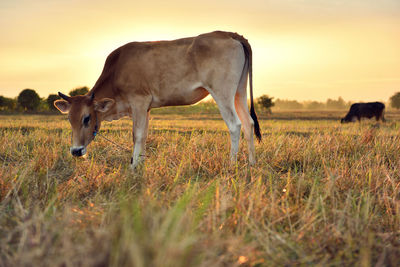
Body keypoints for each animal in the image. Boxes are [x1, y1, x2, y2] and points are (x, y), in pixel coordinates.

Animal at [54, 30, 260, 168]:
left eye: (87, 118)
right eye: (69, 119)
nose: (76, 151)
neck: (116, 70)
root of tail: (229, 34)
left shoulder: (138, 102)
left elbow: (136, 135)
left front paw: (133, 167)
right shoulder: (146, 108)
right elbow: (144, 136)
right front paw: (141, 165)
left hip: (222, 92)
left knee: (235, 125)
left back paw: (231, 165)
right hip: (239, 92)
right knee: (248, 123)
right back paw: (252, 163)